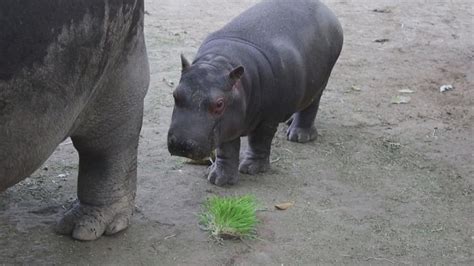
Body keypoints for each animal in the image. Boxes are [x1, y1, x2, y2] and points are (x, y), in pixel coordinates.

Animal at [168, 0, 342, 186]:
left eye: (219, 103)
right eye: (175, 94)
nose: (181, 144)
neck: (219, 63)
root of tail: (325, 8)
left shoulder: (268, 118)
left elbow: (259, 141)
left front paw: (251, 169)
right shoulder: (228, 123)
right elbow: (226, 148)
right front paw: (218, 178)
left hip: (320, 82)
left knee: (311, 106)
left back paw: (298, 136)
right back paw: (290, 123)